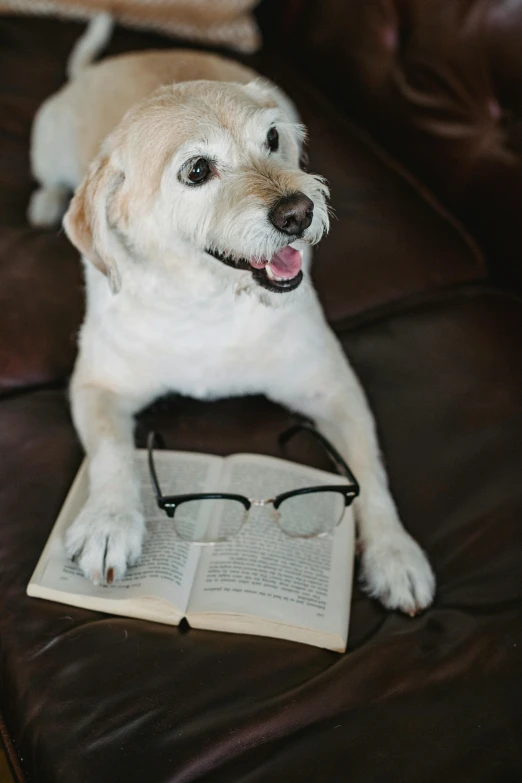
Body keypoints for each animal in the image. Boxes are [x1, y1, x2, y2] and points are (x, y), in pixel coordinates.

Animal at [29, 41, 434, 620]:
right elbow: (110, 451)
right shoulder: (95, 385)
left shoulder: (334, 390)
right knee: (51, 181)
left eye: (272, 139)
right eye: (197, 170)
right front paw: (109, 521)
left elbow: (369, 470)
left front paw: (395, 553)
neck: (209, 304)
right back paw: (43, 205)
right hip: (47, 145)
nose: (298, 212)